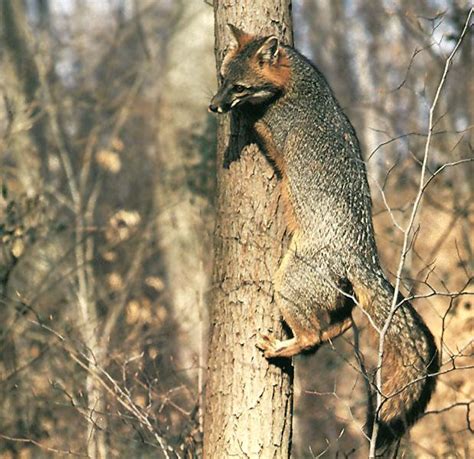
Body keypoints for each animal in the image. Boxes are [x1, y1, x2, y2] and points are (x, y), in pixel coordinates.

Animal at [209, 25, 438, 452]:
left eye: (239, 87)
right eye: (221, 80)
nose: (213, 107)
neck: (300, 84)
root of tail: (363, 253)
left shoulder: (270, 130)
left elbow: (253, 121)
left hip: (285, 284)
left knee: (312, 335)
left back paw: (281, 346)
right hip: (330, 300)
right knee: (342, 325)